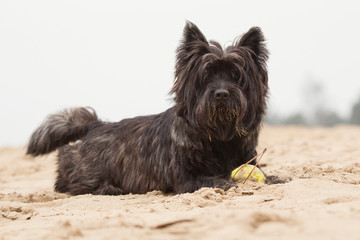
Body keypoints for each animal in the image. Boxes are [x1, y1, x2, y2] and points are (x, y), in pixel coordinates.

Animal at [26, 21, 272, 195]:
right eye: (207, 75)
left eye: (235, 75)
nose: (221, 93)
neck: (220, 138)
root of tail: (95, 125)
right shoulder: (188, 179)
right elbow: (218, 179)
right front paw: (231, 181)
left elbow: (267, 176)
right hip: (87, 169)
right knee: (67, 164)